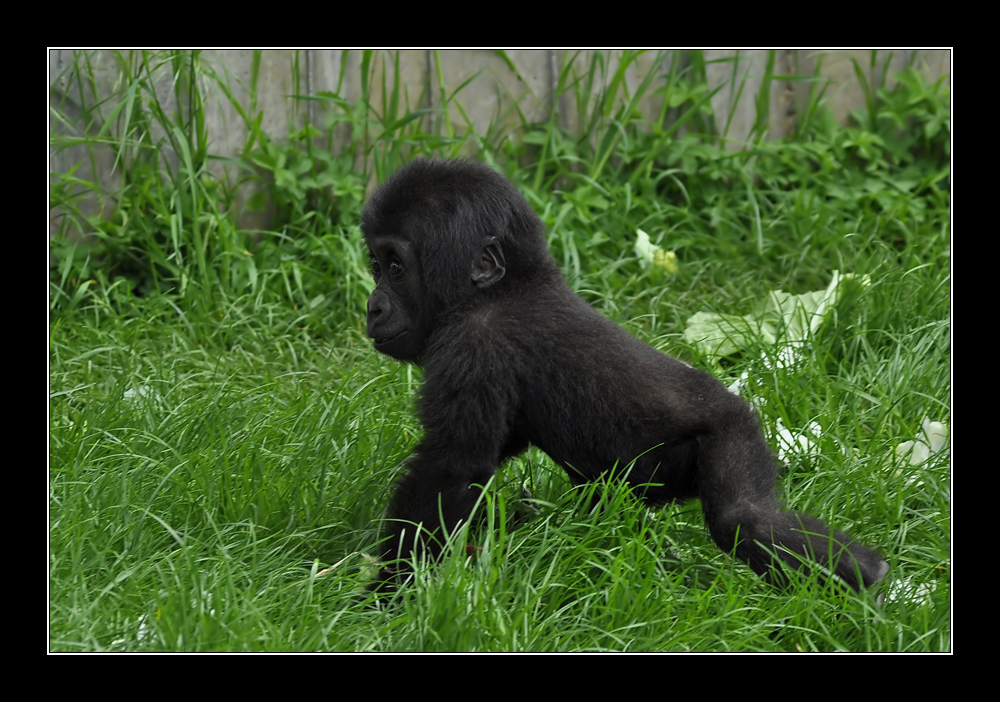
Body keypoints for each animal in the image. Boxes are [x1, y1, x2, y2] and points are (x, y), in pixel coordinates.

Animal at [358, 161, 884, 600]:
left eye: (397, 268)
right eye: (376, 266)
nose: (373, 308)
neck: (504, 286)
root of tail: (742, 406)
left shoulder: (473, 344)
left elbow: (451, 469)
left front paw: (388, 592)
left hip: (733, 433)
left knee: (744, 520)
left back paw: (867, 580)